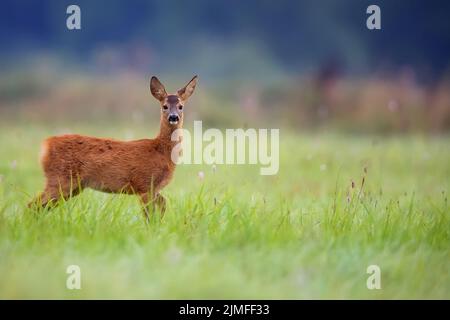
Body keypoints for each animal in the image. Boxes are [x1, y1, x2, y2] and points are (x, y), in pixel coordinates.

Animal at [28, 75, 197, 218]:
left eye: (181, 106)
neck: (161, 151)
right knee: (32, 205)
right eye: (165, 106)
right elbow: (150, 215)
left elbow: (163, 205)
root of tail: (45, 145)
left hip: (73, 186)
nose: (173, 117)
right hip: (60, 179)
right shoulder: (145, 185)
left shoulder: (154, 189)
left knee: (39, 207)